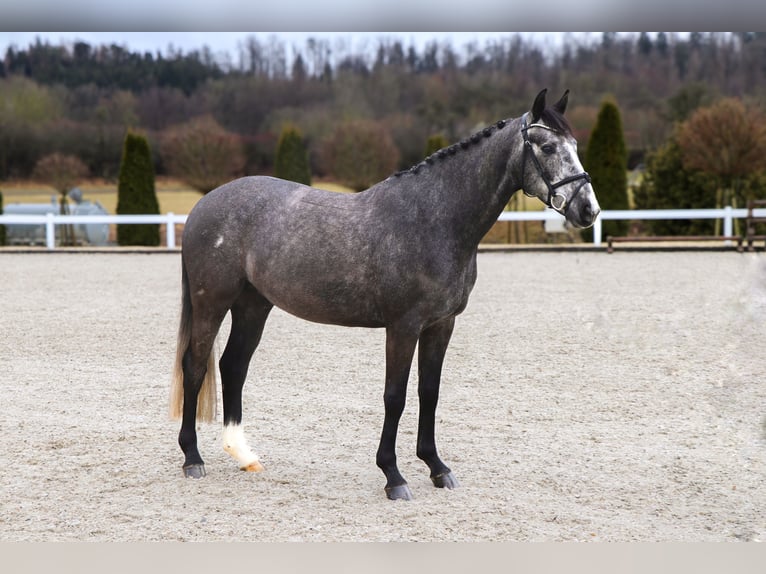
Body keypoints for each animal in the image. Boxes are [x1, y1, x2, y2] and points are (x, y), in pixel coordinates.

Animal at [171, 88, 604, 502]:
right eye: (547, 147)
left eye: (575, 145)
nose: (589, 210)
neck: (434, 220)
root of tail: (203, 205)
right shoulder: (403, 327)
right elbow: (394, 396)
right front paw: (393, 476)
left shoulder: (441, 325)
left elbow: (429, 392)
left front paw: (437, 468)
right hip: (212, 303)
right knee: (195, 366)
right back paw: (192, 458)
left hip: (253, 305)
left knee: (233, 366)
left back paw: (243, 455)